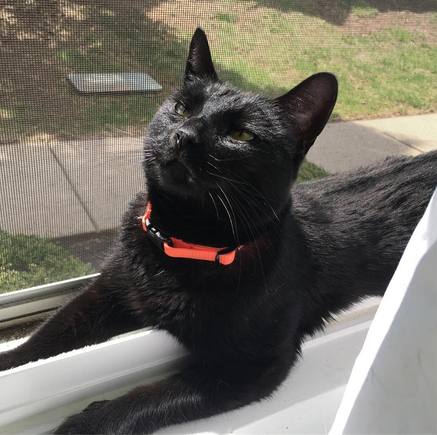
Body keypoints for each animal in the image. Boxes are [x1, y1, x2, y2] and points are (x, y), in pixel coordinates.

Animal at [0, 27, 436, 434]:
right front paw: (11, 361)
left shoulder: (254, 365)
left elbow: (153, 395)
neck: (181, 245)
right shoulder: (106, 292)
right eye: (181, 108)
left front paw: (85, 423)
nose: (183, 135)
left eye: (241, 134)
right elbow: (45, 339)